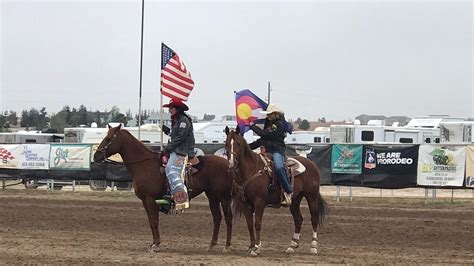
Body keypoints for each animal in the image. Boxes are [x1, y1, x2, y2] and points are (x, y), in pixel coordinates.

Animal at [92, 124, 233, 251]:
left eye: (108, 139)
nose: (95, 156)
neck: (144, 164)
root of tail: (228, 163)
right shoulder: (145, 201)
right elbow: (151, 221)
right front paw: (153, 243)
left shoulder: (150, 199)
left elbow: (154, 220)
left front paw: (156, 245)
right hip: (212, 196)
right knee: (217, 217)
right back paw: (211, 245)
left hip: (224, 197)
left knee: (228, 218)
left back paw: (227, 246)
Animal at [224, 126, 328, 256]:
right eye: (226, 143)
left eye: (238, 143)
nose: (231, 163)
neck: (251, 170)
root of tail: (312, 164)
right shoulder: (244, 203)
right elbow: (249, 225)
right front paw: (251, 246)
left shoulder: (259, 201)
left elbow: (257, 224)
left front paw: (256, 248)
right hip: (295, 199)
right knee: (298, 219)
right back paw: (292, 246)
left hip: (311, 196)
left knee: (314, 217)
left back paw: (313, 247)